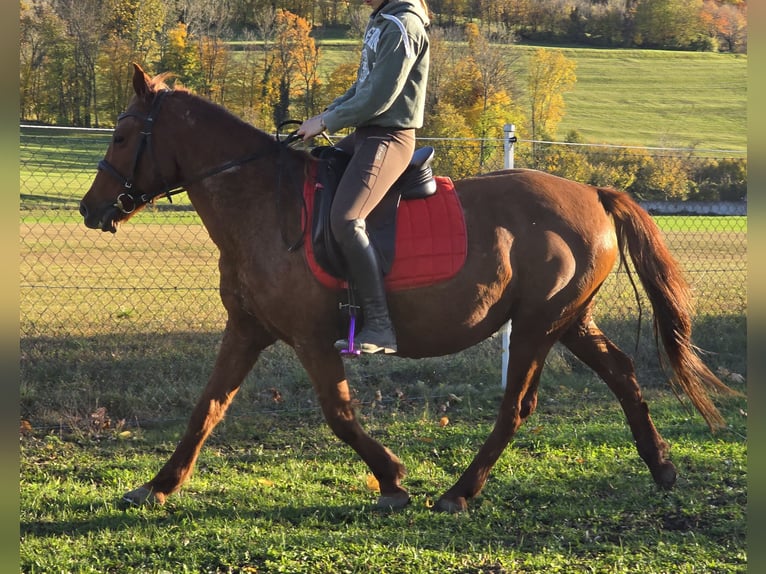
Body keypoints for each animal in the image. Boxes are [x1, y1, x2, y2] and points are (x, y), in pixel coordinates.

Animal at [79, 63, 736, 513]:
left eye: (120, 136)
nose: (90, 210)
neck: (262, 202)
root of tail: (594, 194)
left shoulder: (313, 340)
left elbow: (339, 414)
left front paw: (393, 478)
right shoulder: (247, 329)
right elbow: (207, 408)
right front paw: (157, 486)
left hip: (538, 324)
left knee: (517, 406)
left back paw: (460, 492)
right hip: (569, 320)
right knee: (622, 373)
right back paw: (662, 468)